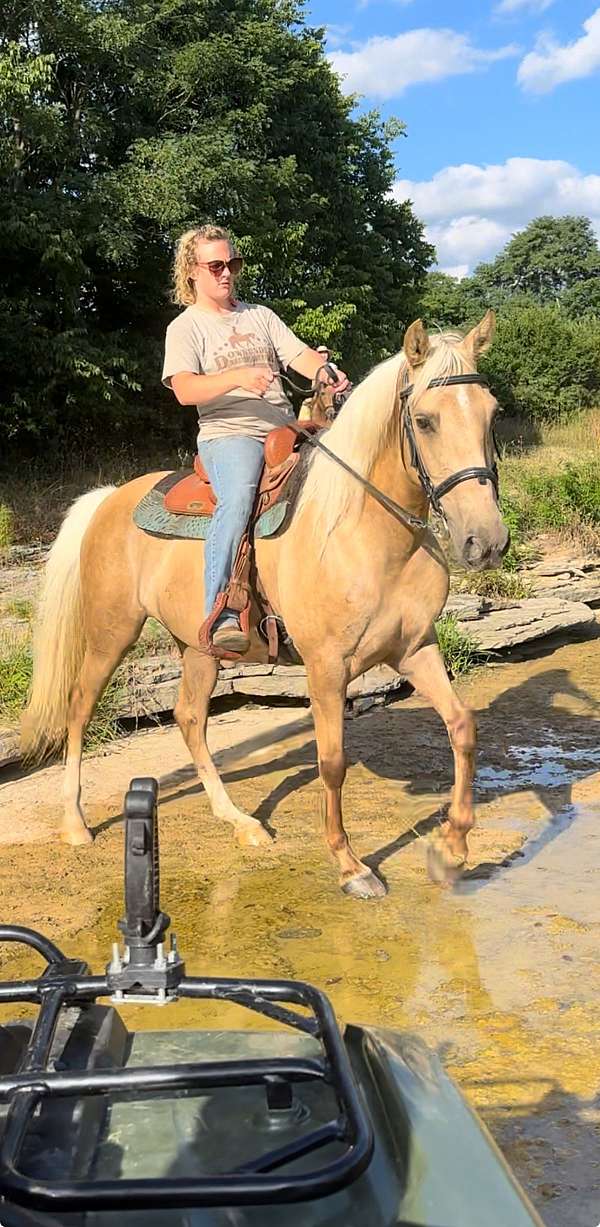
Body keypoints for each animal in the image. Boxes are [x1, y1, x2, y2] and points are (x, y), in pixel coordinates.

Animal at [22, 311, 505, 898]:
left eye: (492, 414)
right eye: (426, 420)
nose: (486, 541)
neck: (361, 528)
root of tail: (109, 498)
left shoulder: (415, 647)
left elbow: (462, 727)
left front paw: (451, 850)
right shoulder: (326, 666)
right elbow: (332, 761)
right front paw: (350, 866)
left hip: (199, 645)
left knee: (189, 717)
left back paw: (240, 821)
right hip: (111, 633)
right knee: (79, 707)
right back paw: (74, 823)